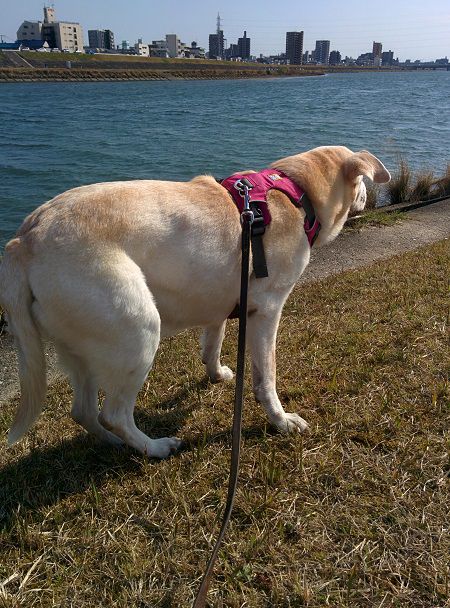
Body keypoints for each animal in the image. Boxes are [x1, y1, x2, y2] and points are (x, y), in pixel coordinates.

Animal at [0, 146, 388, 456]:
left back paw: (113, 444)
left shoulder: (223, 299)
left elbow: (213, 341)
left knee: (84, 411)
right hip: (136, 328)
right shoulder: (266, 311)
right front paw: (281, 421)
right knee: (114, 413)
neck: (296, 191)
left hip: (82, 347)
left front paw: (215, 373)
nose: (367, 197)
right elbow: (266, 378)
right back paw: (153, 447)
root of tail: (26, 239)